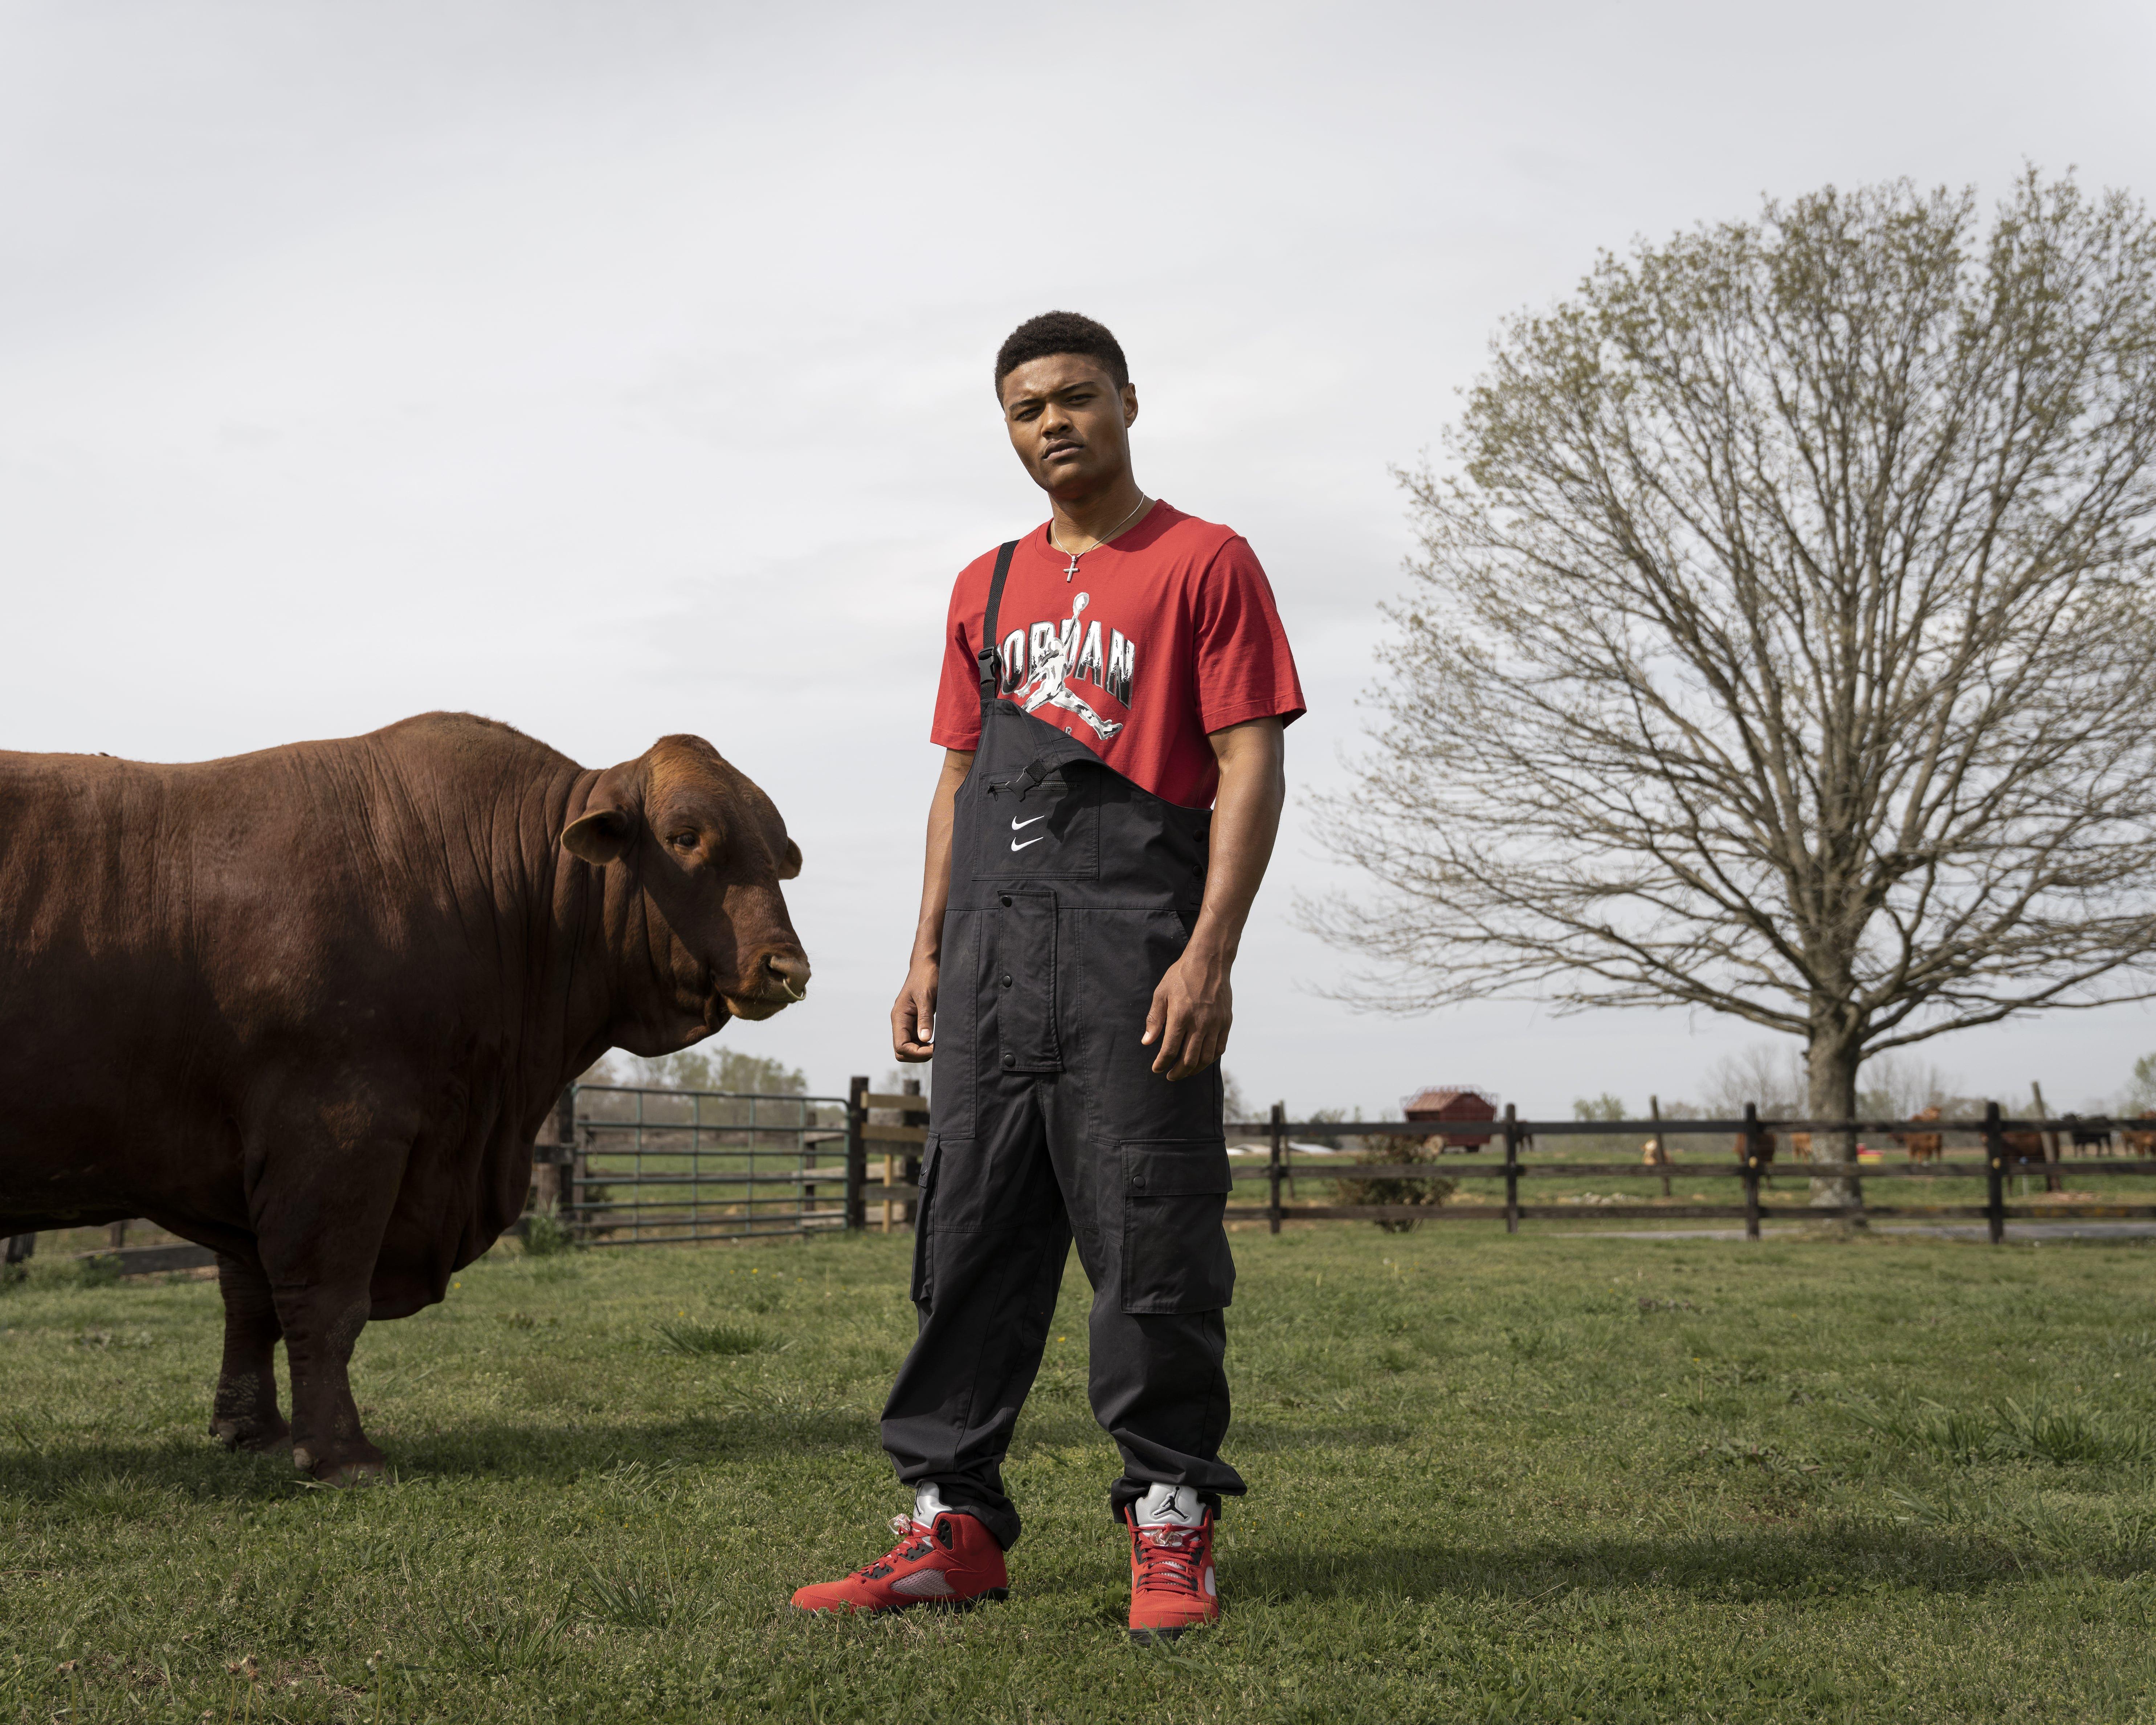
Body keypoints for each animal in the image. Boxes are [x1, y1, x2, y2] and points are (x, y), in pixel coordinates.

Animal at [0, 716, 810, 1483]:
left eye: (779, 854)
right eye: (685, 837)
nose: (788, 967)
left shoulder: (248, 1157)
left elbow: (250, 1297)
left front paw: (253, 1432)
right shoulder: (337, 1133)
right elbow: (325, 1298)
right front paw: (340, 1455)